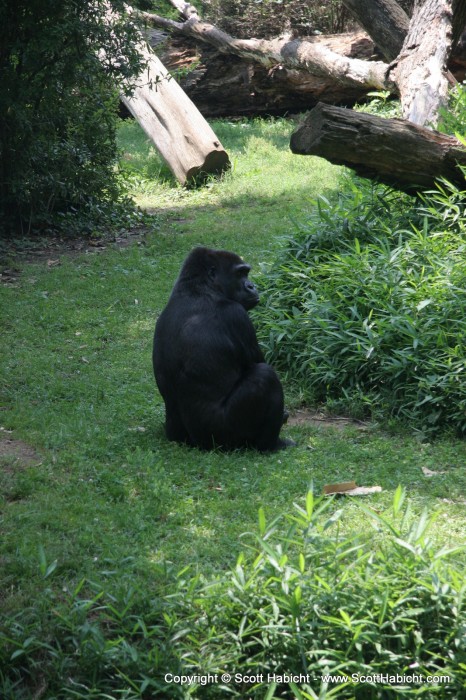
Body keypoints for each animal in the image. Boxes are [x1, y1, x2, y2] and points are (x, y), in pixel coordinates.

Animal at [153, 246, 292, 452]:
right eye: (240, 273)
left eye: (246, 273)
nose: (251, 286)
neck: (199, 289)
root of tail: (196, 444)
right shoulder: (236, 315)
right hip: (220, 439)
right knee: (265, 375)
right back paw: (271, 444)